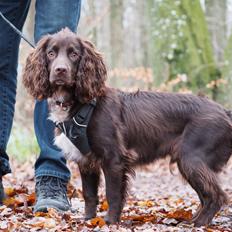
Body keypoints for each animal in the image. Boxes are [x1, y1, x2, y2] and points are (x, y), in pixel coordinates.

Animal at [23, 28, 232, 227]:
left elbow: (113, 194)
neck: (79, 104)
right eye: (51, 53)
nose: (60, 70)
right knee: (205, 196)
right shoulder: (86, 160)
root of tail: (224, 111)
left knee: (217, 196)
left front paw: (109, 221)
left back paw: (199, 223)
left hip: (192, 158)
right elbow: (89, 194)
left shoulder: (113, 158)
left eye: (74, 54)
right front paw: (88, 220)